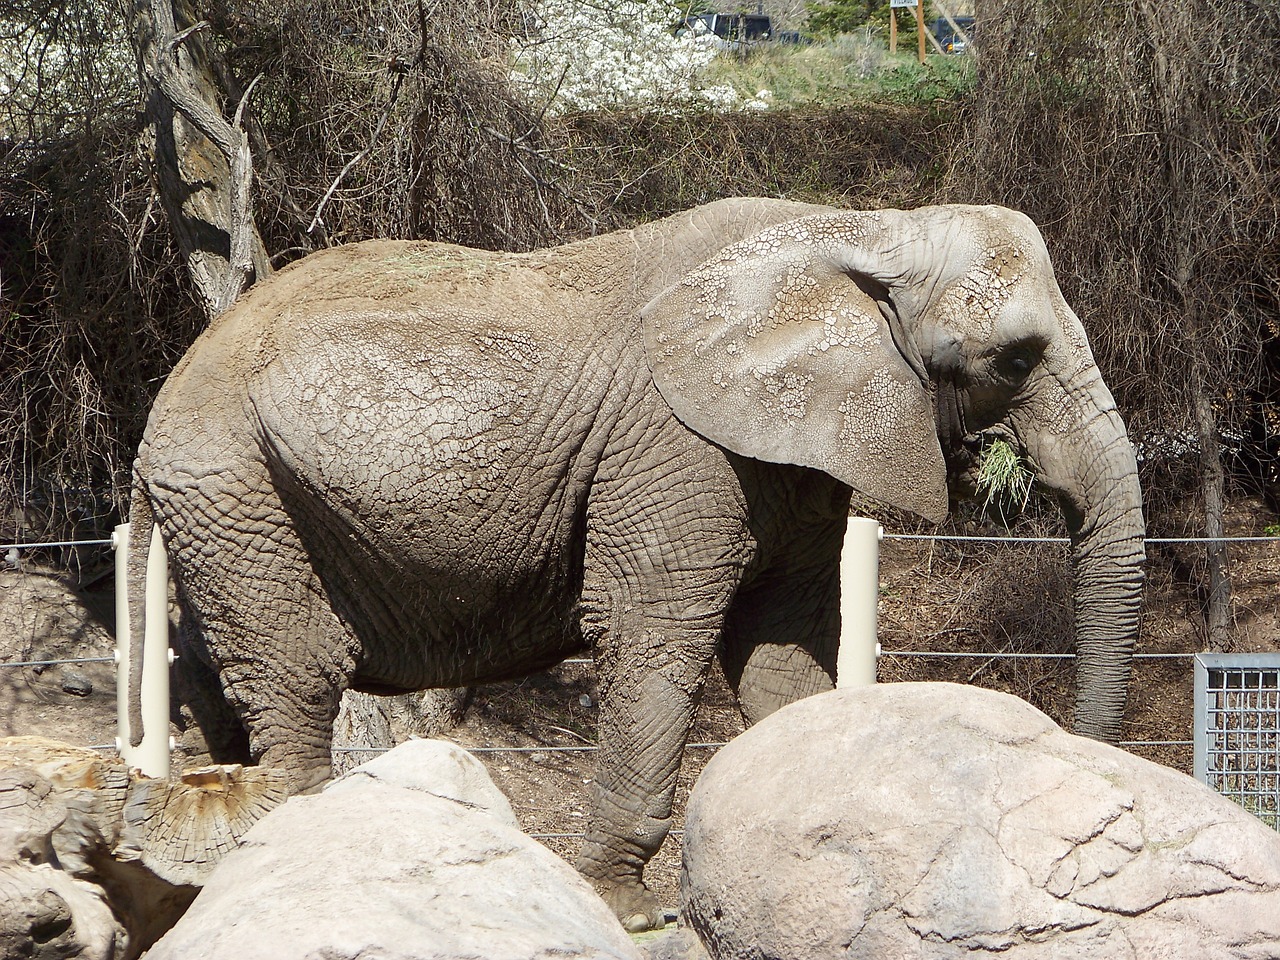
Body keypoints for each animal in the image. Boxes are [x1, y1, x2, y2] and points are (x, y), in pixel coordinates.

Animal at [129, 197, 1146, 931]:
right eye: (1014, 360)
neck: (859, 227)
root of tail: (160, 406)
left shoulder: (793, 455)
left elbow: (783, 653)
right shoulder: (677, 447)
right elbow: (653, 633)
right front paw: (634, 913)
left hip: (226, 503)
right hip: (233, 484)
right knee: (297, 678)